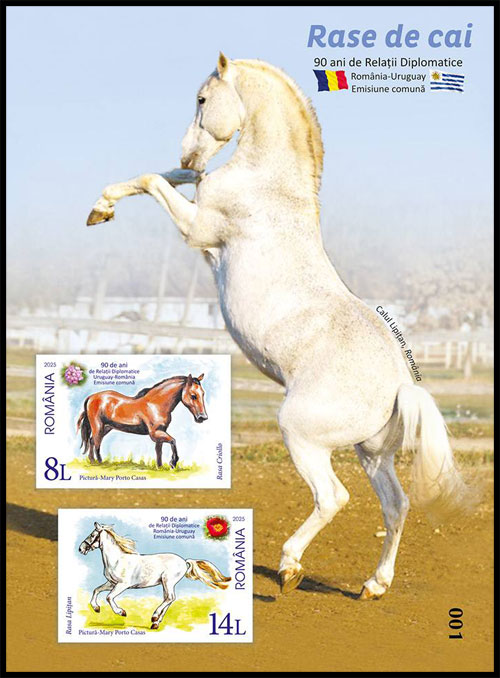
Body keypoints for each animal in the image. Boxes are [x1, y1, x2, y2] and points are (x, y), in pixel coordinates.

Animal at [76, 374, 207, 468]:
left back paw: (93, 461)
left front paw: (160, 467)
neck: (155, 404)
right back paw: (99, 462)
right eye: (193, 395)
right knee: (96, 442)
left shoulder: (160, 433)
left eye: (203, 394)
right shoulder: (155, 433)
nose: (202, 417)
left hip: (106, 427)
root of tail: (91, 397)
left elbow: (159, 451)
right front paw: (173, 463)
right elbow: (173, 441)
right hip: (98, 426)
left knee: (92, 441)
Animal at [79, 522, 231, 629]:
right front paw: (96, 608)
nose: (80, 549)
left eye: (92, 535)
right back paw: (156, 623)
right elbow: (96, 590)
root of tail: (184, 561)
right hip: (165, 583)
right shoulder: (111, 583)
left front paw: (121, 612)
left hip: (168, 581)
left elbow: (109, 597)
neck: (117, 560)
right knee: (169, 599)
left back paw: (154, 617)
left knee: (169, 598)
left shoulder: (123, 584)